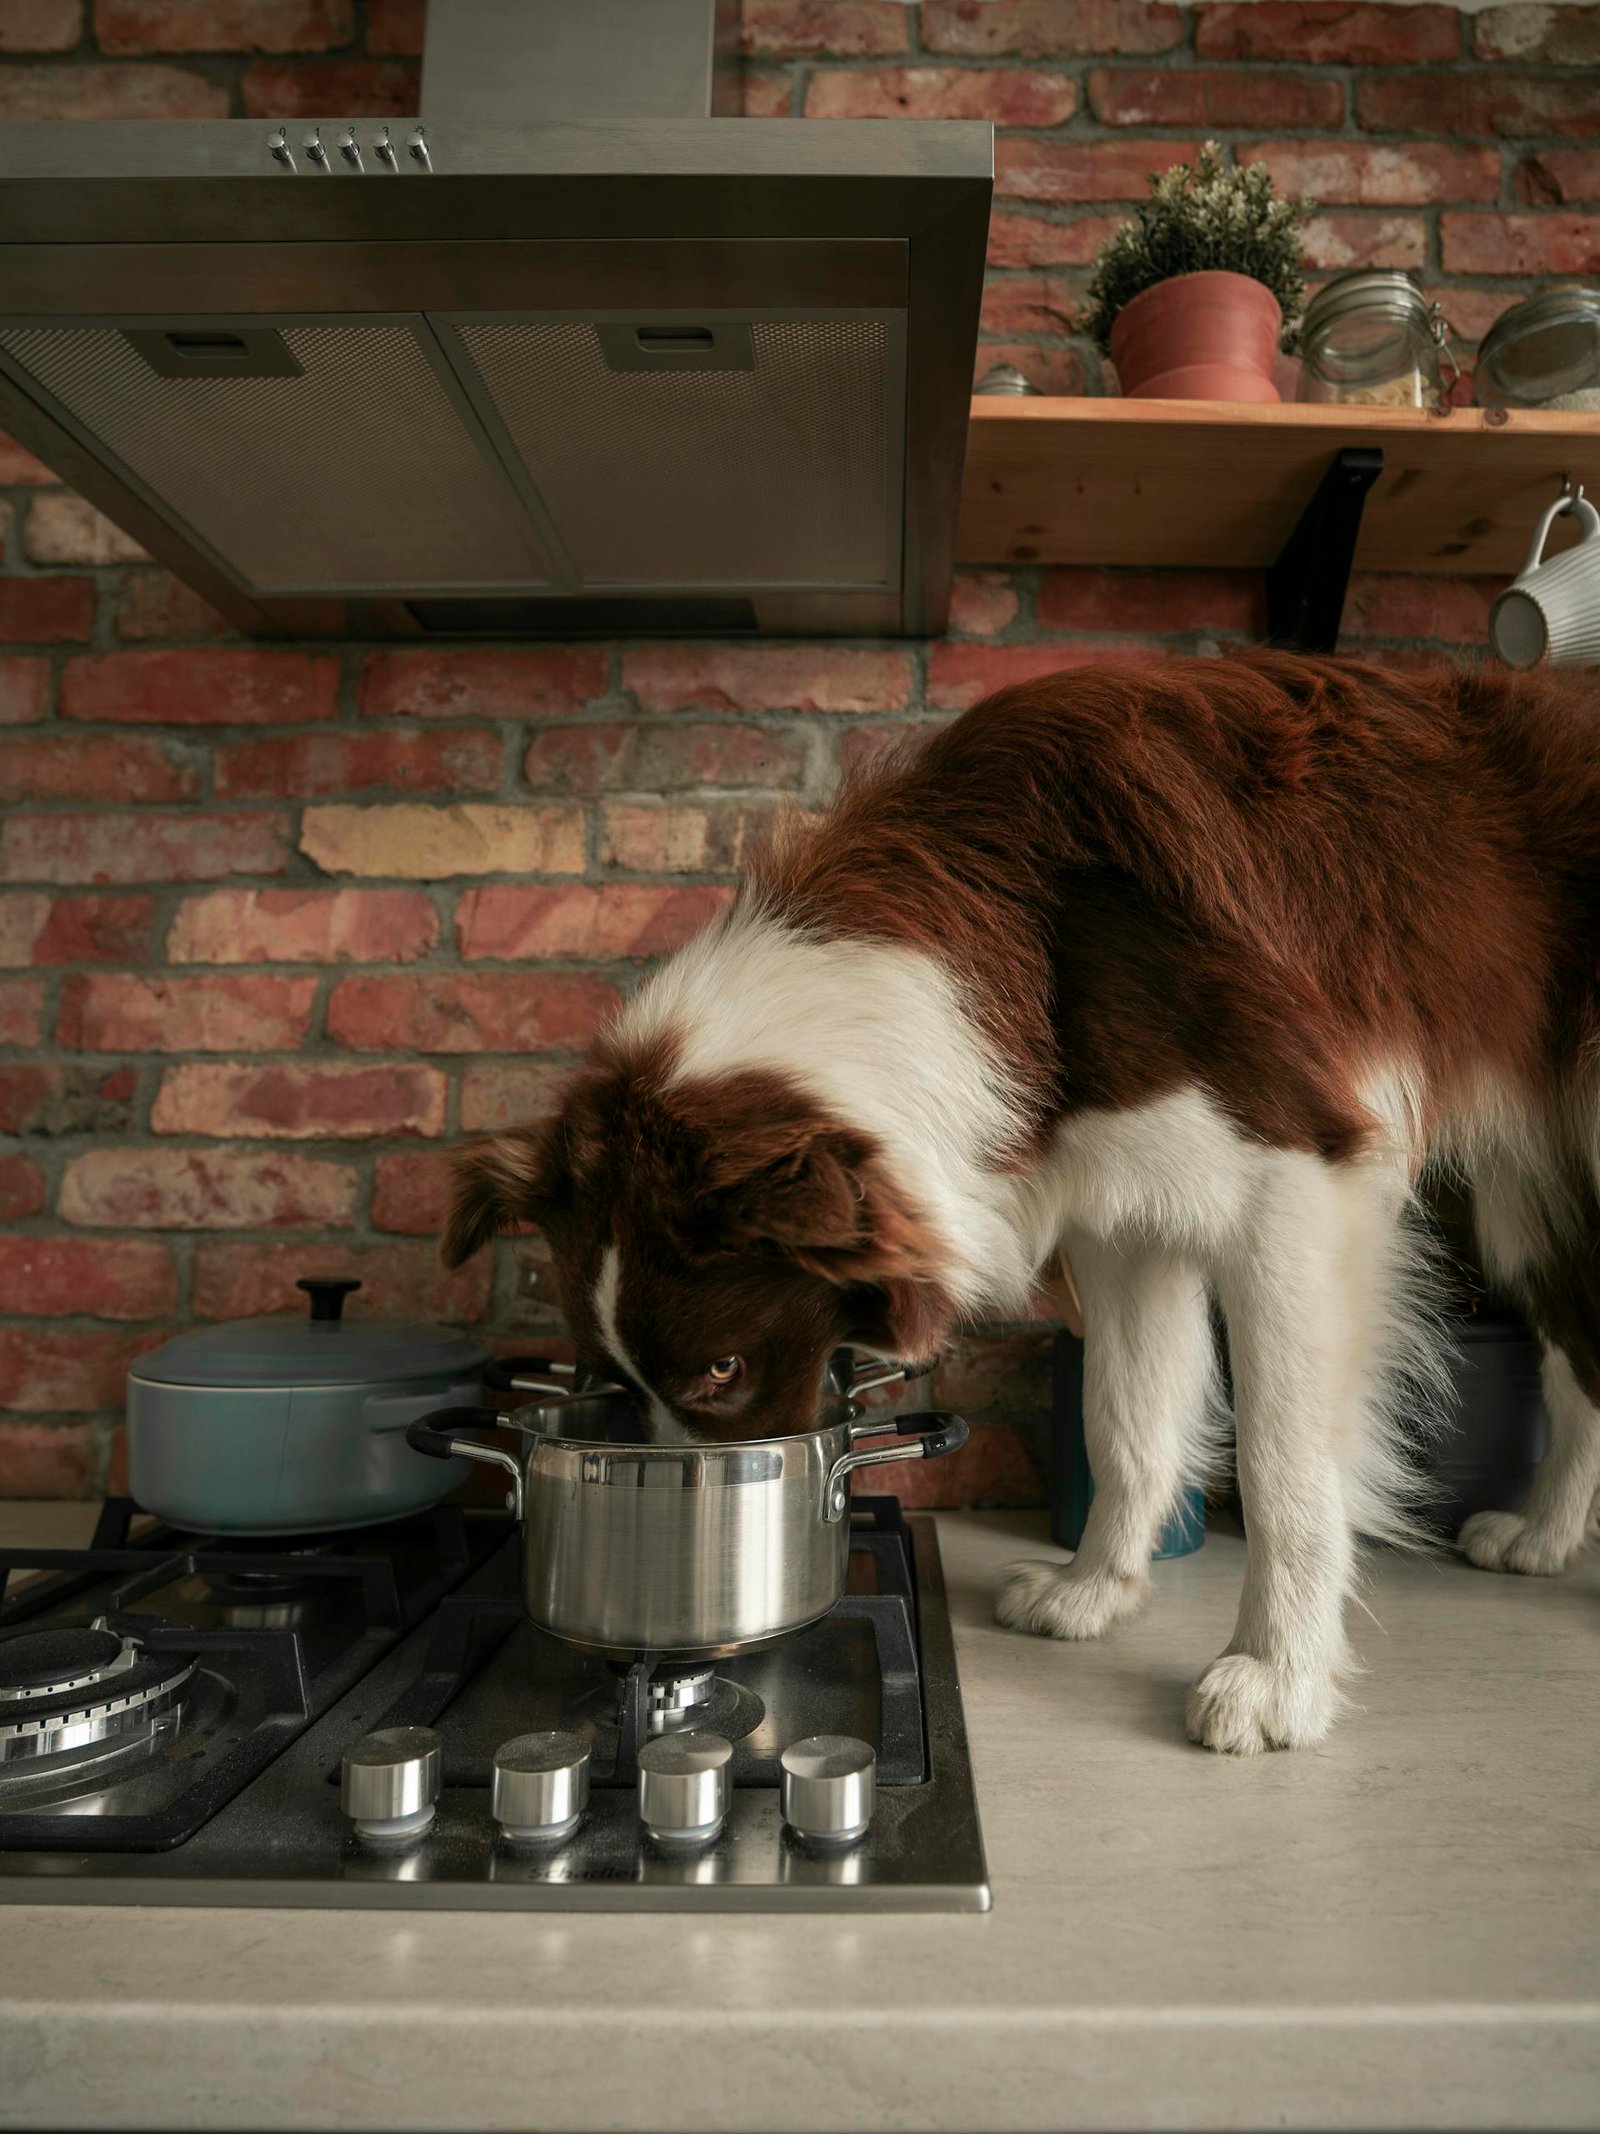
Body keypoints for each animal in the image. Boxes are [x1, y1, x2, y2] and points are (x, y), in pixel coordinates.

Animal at [445, 648, 1600, 1749]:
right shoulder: (1127, 1213)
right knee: (1580, 1354)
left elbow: (1284, 1465)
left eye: (723, 1370)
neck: (1028, 934)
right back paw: (1543, 1538)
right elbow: (1125, 1417)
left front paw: (1276, 1678)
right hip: (1528, 1193)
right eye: (609, 1379)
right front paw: (1095, 1591)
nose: (701, 1531)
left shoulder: (1298, 1177)